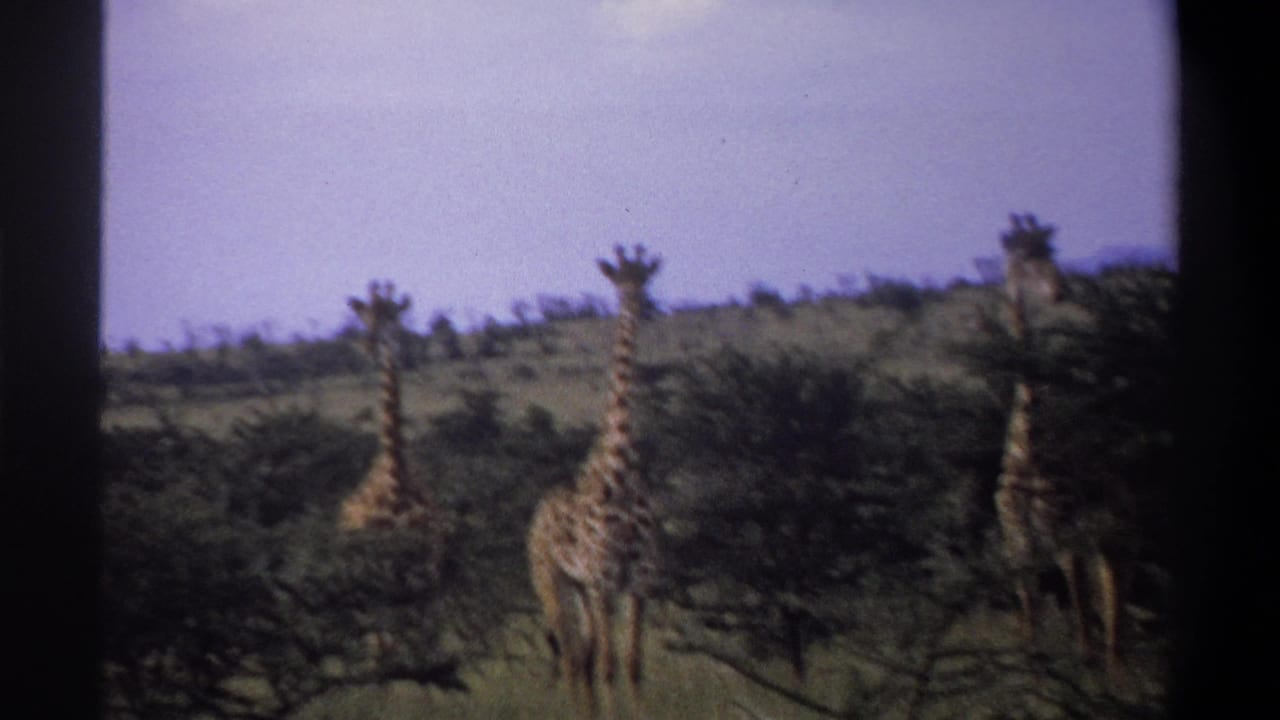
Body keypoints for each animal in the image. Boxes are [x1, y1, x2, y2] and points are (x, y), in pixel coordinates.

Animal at [527, 245, 662, 718]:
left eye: (646, 279)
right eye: (618, 282)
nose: (639, 304)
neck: (619, 470)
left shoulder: (639, 580)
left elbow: (632, 663)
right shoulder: (603, 580)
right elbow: (608, 665)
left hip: (580, 588)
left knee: (582, 656)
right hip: (551, 580)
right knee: (572, 657)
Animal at [991, 214, 1125, 681]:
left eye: (1051, 253)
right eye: (1022, 258)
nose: (1060, 290)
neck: (1026, 448)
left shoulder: (1061, 530)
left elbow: (1079, 604)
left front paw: (1084, 666)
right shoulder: (1017, 541)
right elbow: (1030, 616)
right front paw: (1032, 672)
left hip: (1109, 521)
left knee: (1111, 581)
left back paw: (1113, 665)